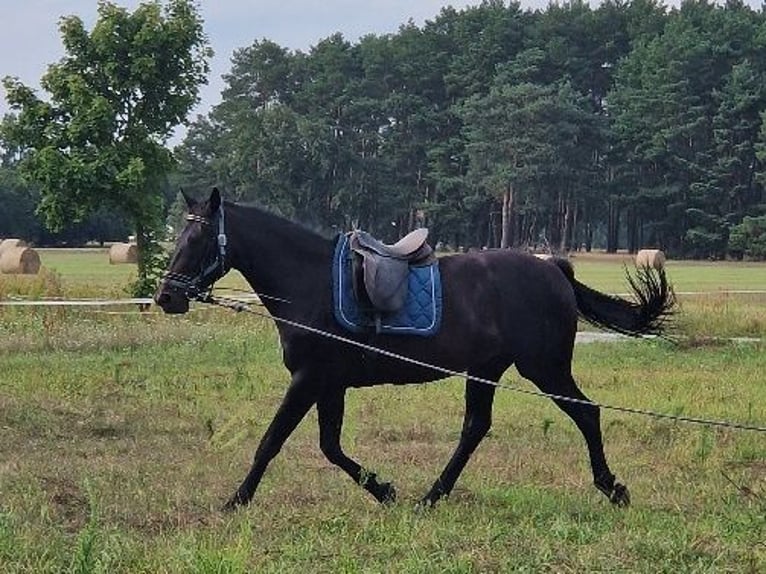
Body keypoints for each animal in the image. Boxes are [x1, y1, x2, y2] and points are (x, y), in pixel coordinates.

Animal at [154, 190, 672, 512]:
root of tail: (554, 268)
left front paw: (236, 500)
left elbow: (271, 441)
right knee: (475, 428)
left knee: (585, 412)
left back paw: (612, 488)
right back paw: (431, 496)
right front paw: (384, 490)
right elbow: (330, 447)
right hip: (486, 370)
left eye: (198, 238)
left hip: (544, 367)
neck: (309, 282)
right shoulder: (329, 384)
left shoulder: (308, 380)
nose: (166, 297)